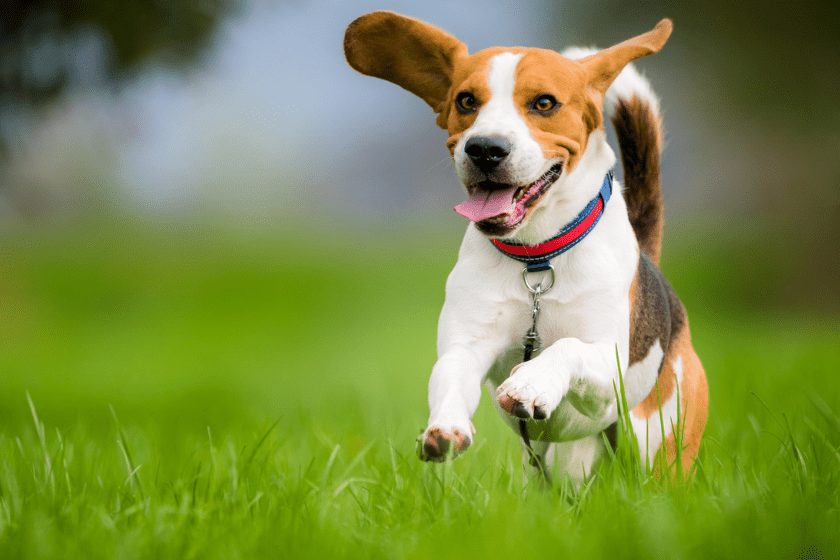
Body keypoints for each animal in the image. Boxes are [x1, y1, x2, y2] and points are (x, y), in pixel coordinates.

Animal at [344, 10, 704, 482]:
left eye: (544, 103)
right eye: (466, 101)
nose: (484, 148)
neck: (537, 260)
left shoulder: (609, 374)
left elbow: (569, 348)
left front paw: (530, 382)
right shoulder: (467, 343)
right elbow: (451, 374)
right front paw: (446, 427)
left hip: (659, 444)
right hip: (559, 465)